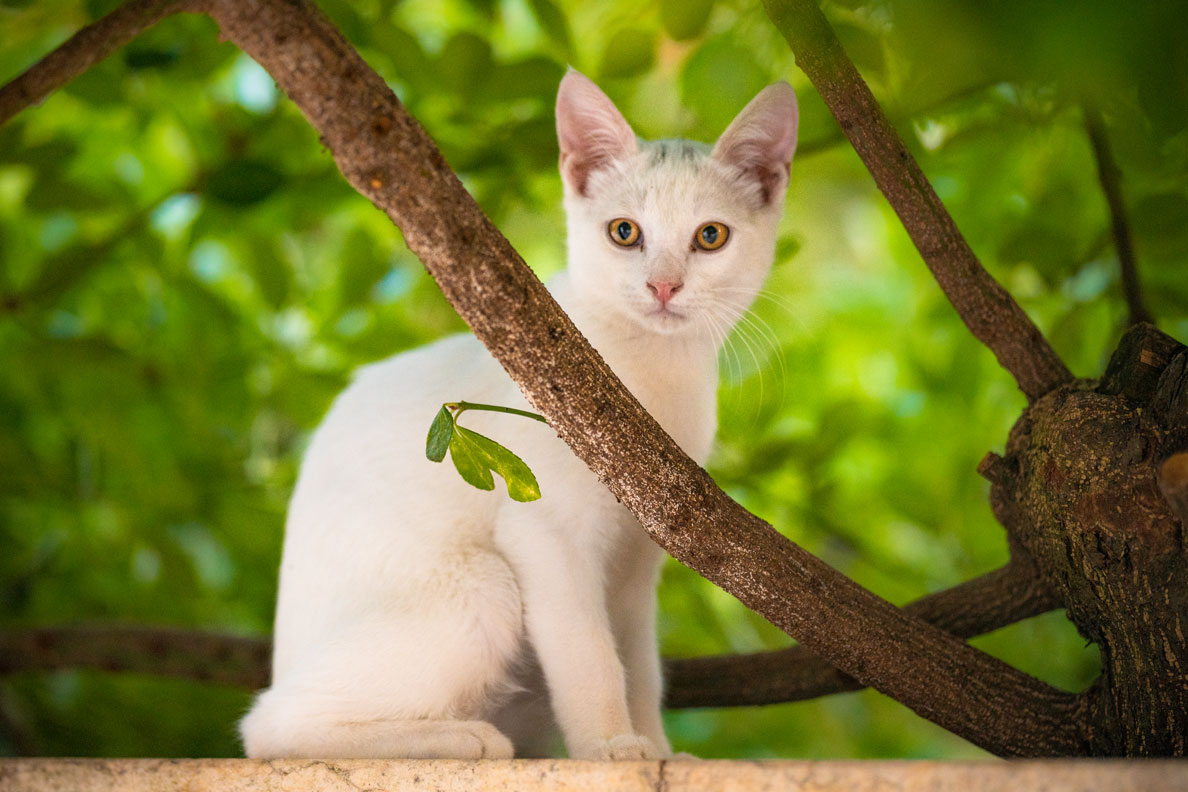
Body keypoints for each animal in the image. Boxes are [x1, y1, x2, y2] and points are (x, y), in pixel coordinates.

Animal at [238, 69, 798, 759]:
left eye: (710, 236)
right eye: (625, 232)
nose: (664, 286)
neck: (652, 380)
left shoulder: (640, 561)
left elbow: (639, 664)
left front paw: (658, 750)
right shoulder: (545, 535)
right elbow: (591, 657)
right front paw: (608, 749)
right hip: (484, 586)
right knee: (267, 729)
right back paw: (461, 739)